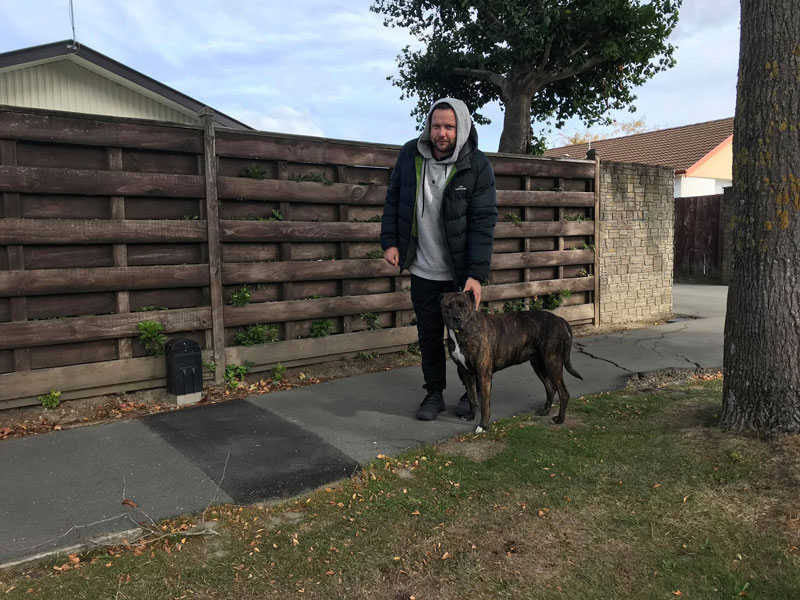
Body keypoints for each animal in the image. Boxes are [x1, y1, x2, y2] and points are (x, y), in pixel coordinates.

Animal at [440, 290, 584, 432]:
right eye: (447, 306)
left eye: (464, 305)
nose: (456, 318)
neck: (464, 331)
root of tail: (561, 320)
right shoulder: (466, 372)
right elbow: (472, 397)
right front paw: (470, 415)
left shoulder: (484, 375)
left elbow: (485, 404)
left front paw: (483, 426)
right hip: (539, 365)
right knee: (551, 388)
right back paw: (545, 411)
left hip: (552, 362)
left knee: (563, 393)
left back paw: (560, 419)